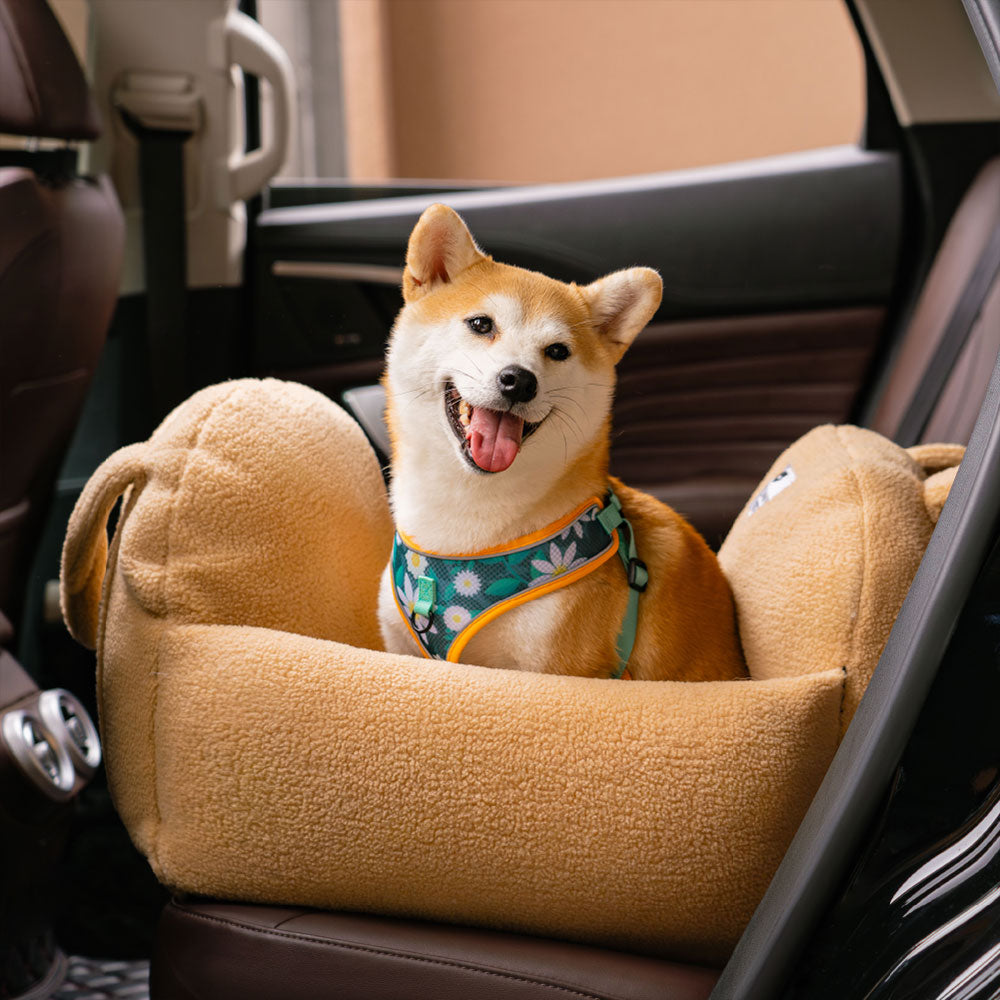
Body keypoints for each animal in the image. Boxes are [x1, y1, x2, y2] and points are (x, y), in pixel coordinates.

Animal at [378, 207, 748, 684]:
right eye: (481, 324)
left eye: (557, 351)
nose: (519, 380)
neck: (464, 536)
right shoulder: (402, 652)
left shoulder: (558, 672)